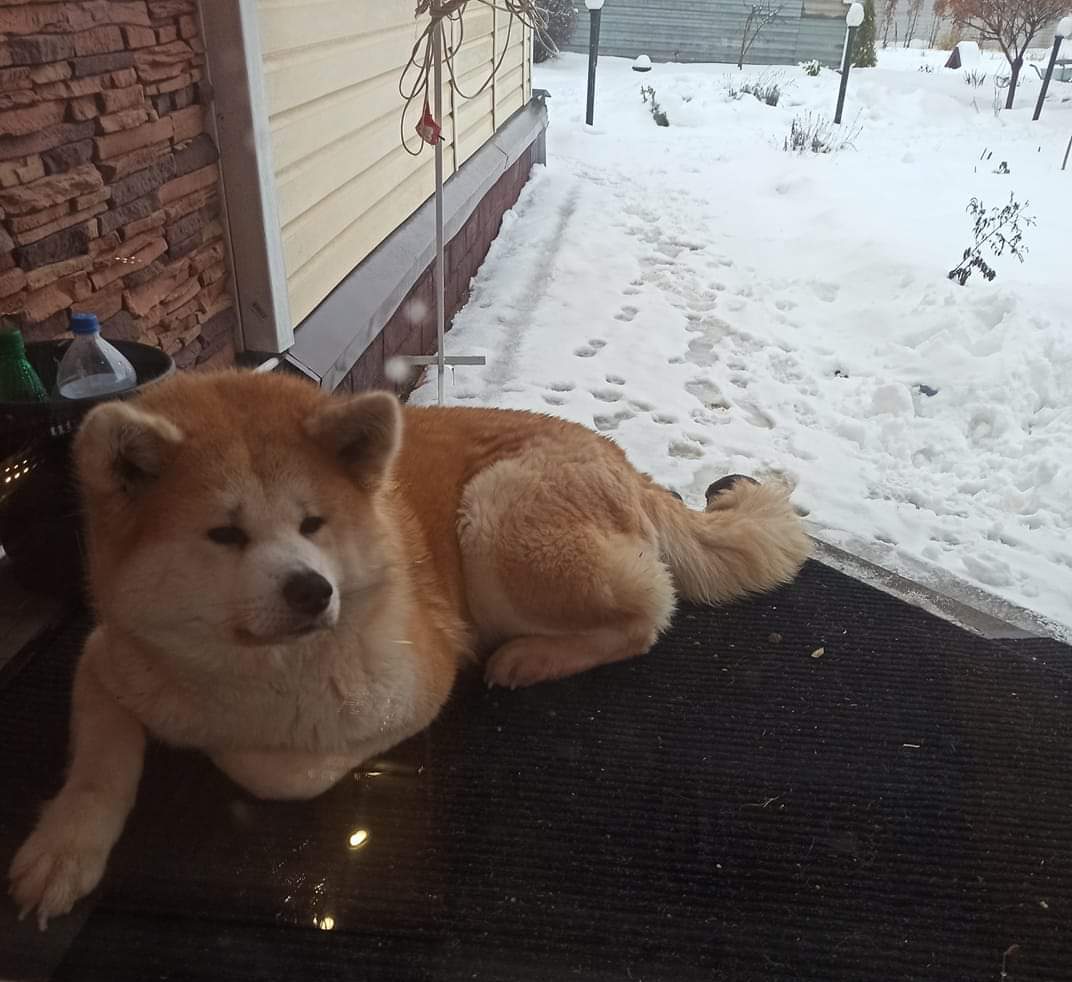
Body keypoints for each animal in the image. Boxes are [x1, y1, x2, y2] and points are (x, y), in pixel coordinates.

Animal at [10, 368, 810, 926]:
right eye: (224, 534)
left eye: (313, 523)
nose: (312, 592)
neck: (237, 664)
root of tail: (616, 454)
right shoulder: (106, 654)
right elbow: (100, 760)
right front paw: (63, 848)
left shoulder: (414, 687)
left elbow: (277, 770)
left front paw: (212, 750)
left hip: (497, 514)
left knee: (650, 609)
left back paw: (533, 656)